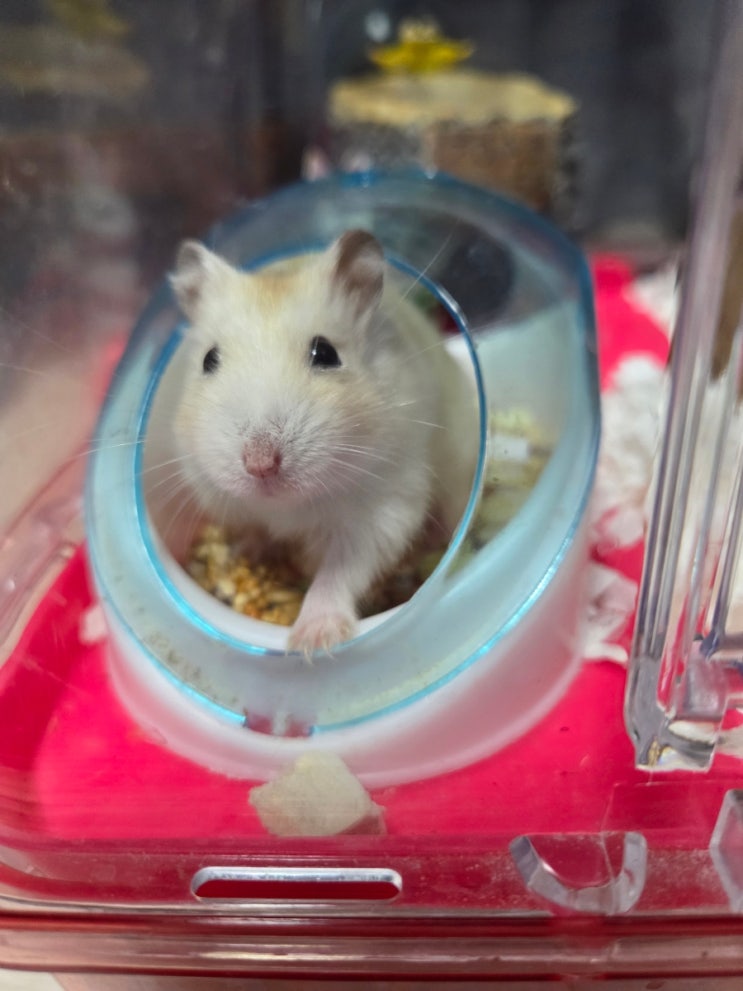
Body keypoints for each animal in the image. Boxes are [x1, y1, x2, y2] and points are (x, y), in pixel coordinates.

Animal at [167, 229, 478, 655]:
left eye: (326, 353)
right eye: (208, 360)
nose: (260, 464)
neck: (286, 506)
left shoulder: (383, 510)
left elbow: (340, 571)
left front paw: (312, 644)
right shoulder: (227, 501)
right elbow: (255, 532)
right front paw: (241, 555)